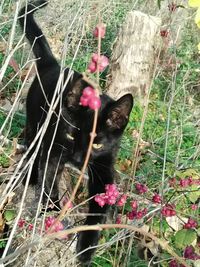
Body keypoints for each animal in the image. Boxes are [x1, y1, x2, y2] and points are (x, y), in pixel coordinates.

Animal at [19, 0, 133, 264]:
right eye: (71, 135)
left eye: (97, 144)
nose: (78, 159)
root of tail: (53, 64)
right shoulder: (54, 149)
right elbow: (49, 180)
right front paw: (52, 210)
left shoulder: (104, 168)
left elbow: (98, 212)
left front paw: (87, 249)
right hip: (36, 123)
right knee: (31, 146)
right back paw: (30, 175)